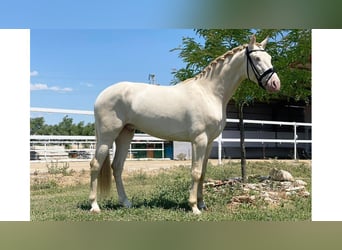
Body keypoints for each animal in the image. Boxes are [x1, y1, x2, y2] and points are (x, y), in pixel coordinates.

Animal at [88, 35, 280, 215]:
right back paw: (94, 206)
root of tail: (102, 95)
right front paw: (194, 207)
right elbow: (195, 172)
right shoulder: (199, 140)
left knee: (117, 167)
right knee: (95, 165)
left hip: (125, 134)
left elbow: (203, 173)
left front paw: (202, 204)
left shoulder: (209, 142)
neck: (209, 93)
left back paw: (126, 203)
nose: (275, 84)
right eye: (257, 59)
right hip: (107, 136)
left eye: (270, 58)